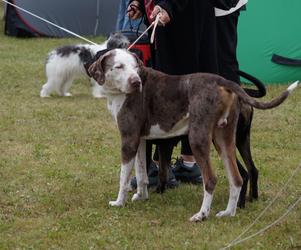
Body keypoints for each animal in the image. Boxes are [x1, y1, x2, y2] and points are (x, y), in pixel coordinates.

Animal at [87, 48, 298, 221]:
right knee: (237, 178)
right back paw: (229, 212)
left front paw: (119, 202)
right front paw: (141, 196)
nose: (136, 82)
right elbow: (141, 174)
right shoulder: (140, 140)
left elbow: (123, 177)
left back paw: (202, 215)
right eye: (119, 67)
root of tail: (222, 81)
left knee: (211, 179)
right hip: (224, 140)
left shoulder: (128, 139)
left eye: (135, 68)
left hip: (198, 139)